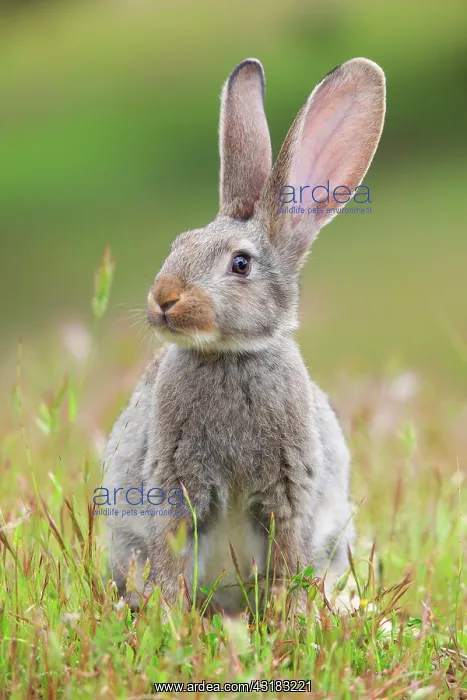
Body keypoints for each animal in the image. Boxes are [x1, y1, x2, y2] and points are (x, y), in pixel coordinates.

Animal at [102, 56, 386, 614]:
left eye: (240, 264)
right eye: (179, 244)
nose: (163, 299)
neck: (230, 354)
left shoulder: (289, 491)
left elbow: (287, 559)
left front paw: (285, 615)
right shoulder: (173, 483)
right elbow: (171, 554)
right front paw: (172, 617)